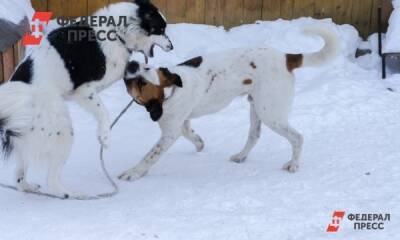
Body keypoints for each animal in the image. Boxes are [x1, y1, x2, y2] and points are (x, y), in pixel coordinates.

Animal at [0, 0, 172, 199]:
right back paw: (72, 194)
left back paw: (28, 187)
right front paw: (104, 137)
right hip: (62, 130)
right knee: (52, 181)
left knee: (19, 177)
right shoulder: (84, 91)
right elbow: (103, 112)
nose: (172, 46)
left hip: (29, 139)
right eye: (161, 29)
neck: (118, 31)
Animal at [119, 26, 340, 181]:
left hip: (270, 113)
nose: (132, 63)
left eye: (142, 82)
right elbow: (192, 135)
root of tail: (285, 57)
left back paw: (293, 165)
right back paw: (241, 156)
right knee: (254, 135)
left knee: (297, 137)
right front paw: (200, 144)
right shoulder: (182, 123)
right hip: (257, 108)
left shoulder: (169, 133)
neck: (171, 90)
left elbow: (150, 156)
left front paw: (133, 172)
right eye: (145, 66)